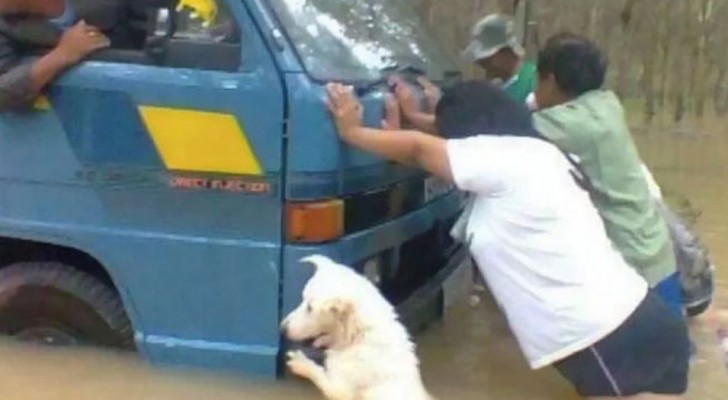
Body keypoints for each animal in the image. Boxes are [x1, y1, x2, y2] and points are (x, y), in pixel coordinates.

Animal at [282, 256, 436, 400]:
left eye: (310, 308)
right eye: (303, 300)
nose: (282, 329)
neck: (361, 336)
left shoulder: (340, 389)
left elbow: (318, 375)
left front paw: (301, 363)